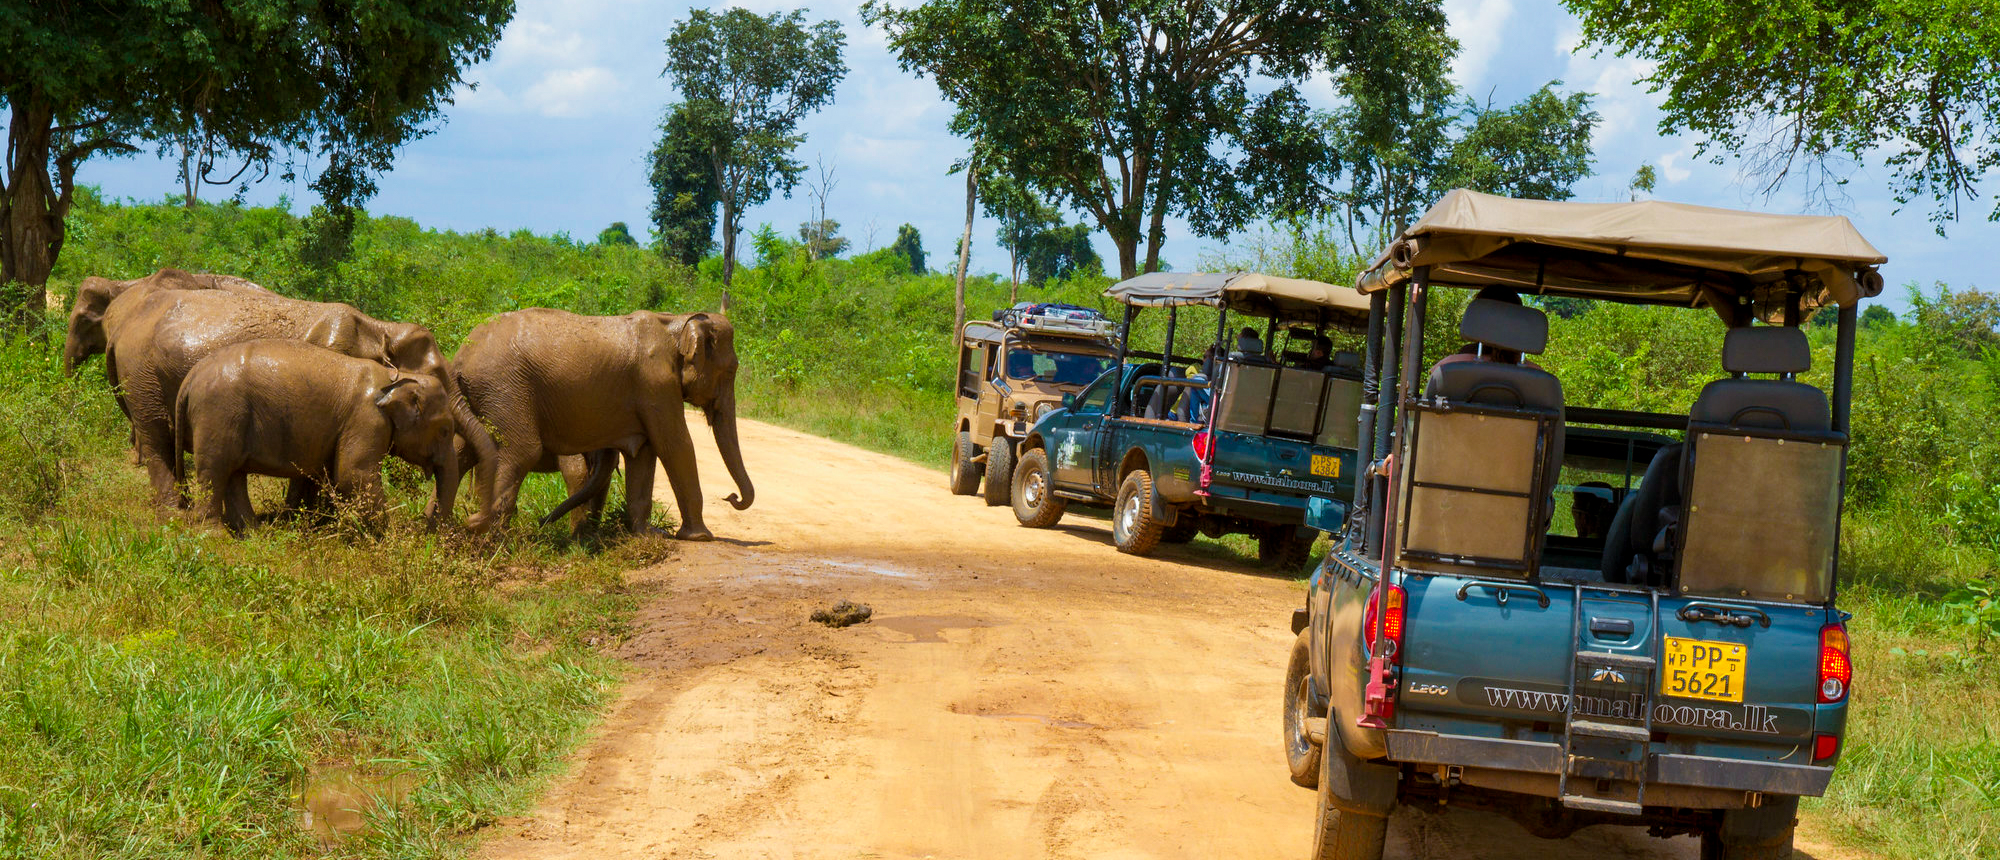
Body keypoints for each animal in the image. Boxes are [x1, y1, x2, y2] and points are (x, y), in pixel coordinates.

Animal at [109, 287, 496, 509]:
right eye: (439, 375)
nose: (474, 522)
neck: (377, 326)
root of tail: (119, 328)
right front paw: (305, 518)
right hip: (142, 380)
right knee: (157, 441)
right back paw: (172, 514)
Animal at [174, 339, 460, 535]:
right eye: (445, 429)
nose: (425, 531)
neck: (396, 378)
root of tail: (191, 376)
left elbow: (338, 476)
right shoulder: (366, 419)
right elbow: (353, 474)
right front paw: (388, 536)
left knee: (234, 473)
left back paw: (254, 533)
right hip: (218, 412)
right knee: (215, 470)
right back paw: (215, 535)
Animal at [453, 308, 752, 539]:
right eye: (730, 371)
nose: (731, 498)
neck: (677, 322)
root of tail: (460, 356)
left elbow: (643, 453)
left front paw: (646, 535)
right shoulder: (657, 383)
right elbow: (675, 446)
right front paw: (700, 537)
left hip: (485, 395)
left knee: (462, 452)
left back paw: (448, 528)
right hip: (504, 389)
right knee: (520, 452)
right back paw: (490, 537)